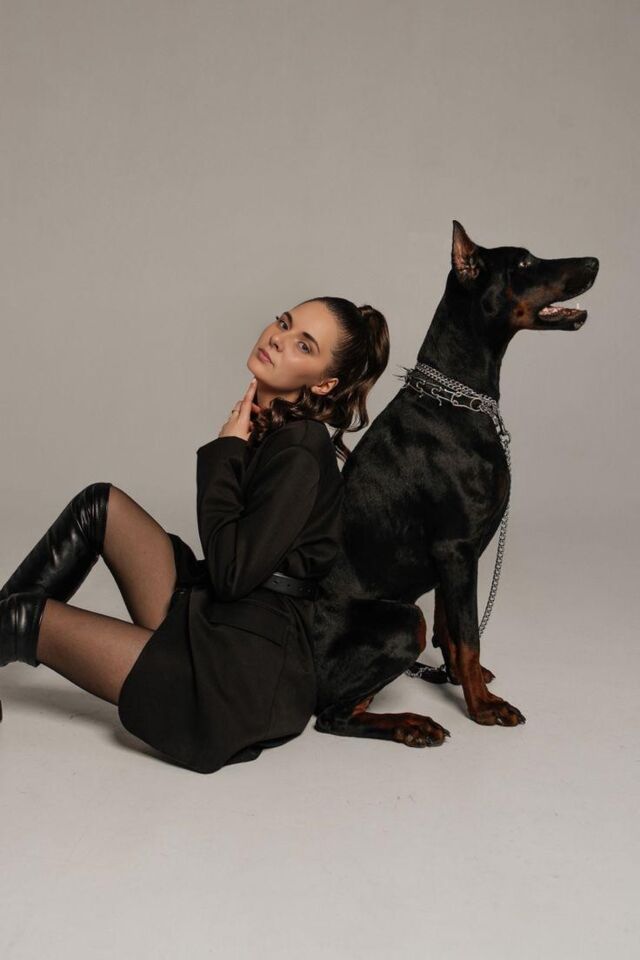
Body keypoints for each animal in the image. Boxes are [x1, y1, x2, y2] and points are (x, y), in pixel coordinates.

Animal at [311, 221, 599, 747]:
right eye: (523, 263)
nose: (594, 262)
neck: (460, 399)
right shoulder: (457, 548)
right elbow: (469, 636)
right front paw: (483, 708)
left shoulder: (455, 558)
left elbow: (453, 628)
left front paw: (463, 679)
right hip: (404, 618)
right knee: (332, 715)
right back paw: (411, 725)